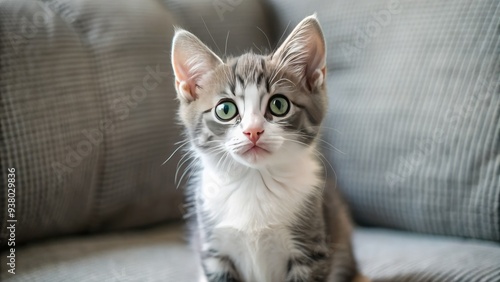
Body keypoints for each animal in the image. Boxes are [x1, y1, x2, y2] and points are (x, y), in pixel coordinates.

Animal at [171, 15, 368, 282]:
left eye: (279, 105)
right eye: (225, 109)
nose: (253, 131)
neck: (254, 180)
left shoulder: (310, 250)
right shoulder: (214, 253)